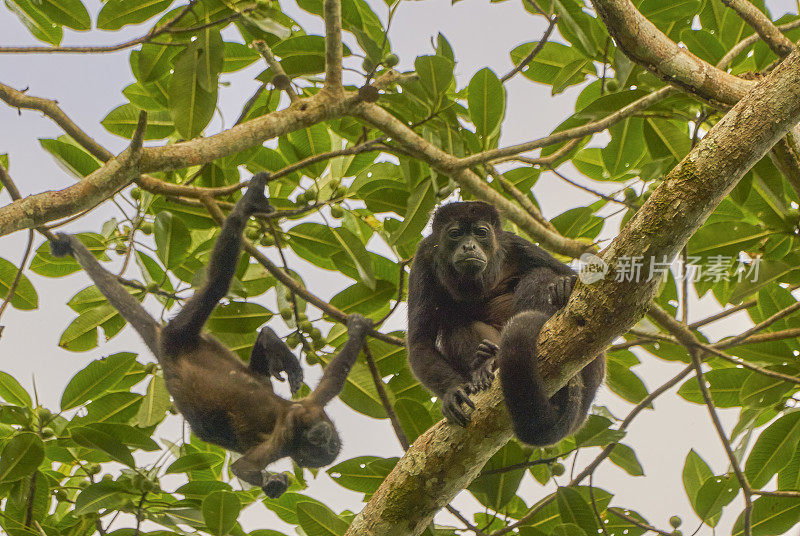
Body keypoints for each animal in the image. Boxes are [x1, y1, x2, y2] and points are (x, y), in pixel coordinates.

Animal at [53, 174, 372, 496]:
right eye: (318, 444)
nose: (320, 437)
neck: (301, 424)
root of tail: (163, 344)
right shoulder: (296, 422)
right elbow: (244, 465)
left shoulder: (305, 415)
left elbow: (332, 378)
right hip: (180, 334)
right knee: (218, 283)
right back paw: (247, 205)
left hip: (209, 344)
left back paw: (269, 340)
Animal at [410, 200, 604, 444]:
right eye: (455, 234)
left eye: (480, 233)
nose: (469, 247)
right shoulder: (423, 258)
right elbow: (420, 342)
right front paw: (452, 392)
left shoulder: (516, 245)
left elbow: (568, 278)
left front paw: (565, 286)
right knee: (454, 326)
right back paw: (485, 362)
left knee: (539, 275)